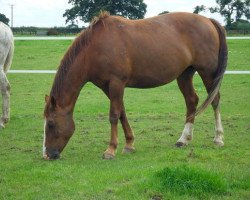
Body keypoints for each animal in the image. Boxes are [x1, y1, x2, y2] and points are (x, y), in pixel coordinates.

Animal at [43, 12, 229, 159]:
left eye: (51, 123)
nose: (48, 154)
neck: (95, 47)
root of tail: (208, 20)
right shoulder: (107, 87)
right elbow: (122, 113)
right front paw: (129, 145)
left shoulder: (116, 83)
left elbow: (113, 115)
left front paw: (110, 150)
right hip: (184, 75)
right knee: (191, 101)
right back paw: (183, 140)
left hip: (207, 72)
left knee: (215, 100)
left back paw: (218, 138)